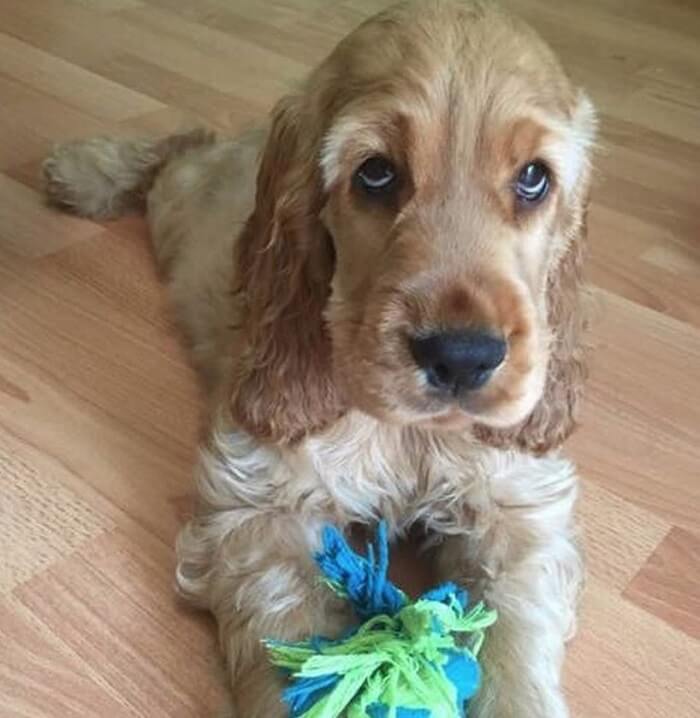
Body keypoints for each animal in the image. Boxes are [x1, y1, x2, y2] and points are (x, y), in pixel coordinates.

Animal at [42, 0, 596, 716]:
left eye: (533, 179)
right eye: (376, 173)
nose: (463, 358)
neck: (407, 431)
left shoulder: (519, 507)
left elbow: (517, 627)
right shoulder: (261, 508)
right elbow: (298, 652)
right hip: (181, 203)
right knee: (182, 147)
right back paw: (86, 170)